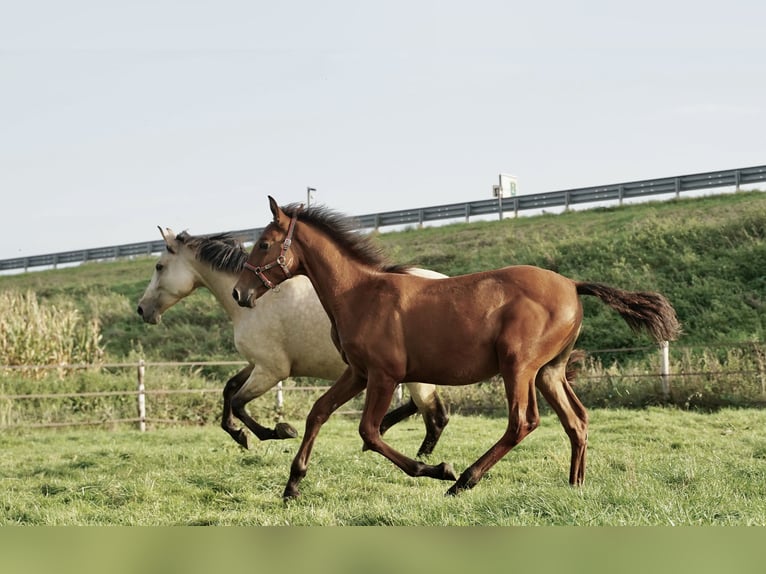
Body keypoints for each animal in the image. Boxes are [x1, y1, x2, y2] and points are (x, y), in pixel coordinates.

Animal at [136, 227, 450, 456]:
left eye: (159, 266)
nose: (142, 309)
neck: (255, 299)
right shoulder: (257, 364)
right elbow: (229, 389)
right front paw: (239, 435)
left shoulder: (272, 371)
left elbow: (238, 402)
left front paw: (275, 431)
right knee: (425, 412)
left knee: (436, 417)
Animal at [231, 198, 680, 500]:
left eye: (264, 244)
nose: (239, 292)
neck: (360, 294)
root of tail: (572, 284)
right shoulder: (357, 372)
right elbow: (319, 412)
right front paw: (292, 484)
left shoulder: (384, 375)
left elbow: (370, 432)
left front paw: (436, 468)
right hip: (549, 371)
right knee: (577, 420)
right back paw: (575, 485)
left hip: (518, 366)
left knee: (523, 422)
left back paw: (465, 479)